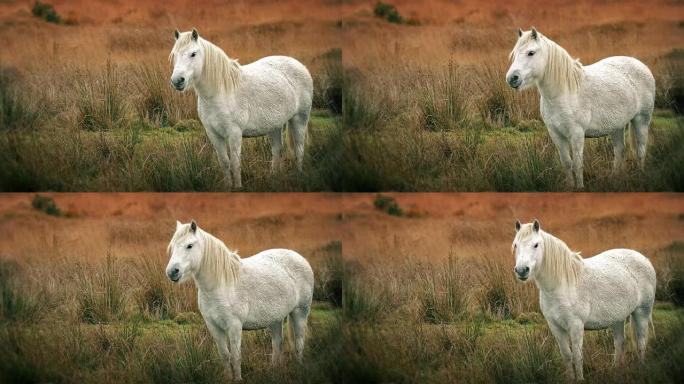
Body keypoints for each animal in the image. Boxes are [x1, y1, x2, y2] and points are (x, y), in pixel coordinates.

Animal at [166, 220, 316, 380]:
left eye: (189, 245)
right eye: (172, 246)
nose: (172, 272)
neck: (220, 285)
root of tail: (301, 258)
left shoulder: (234, 326)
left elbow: (236, 357)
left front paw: (237, 379)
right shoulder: (214, 326)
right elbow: (225, 355)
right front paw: (227, 378)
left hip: (300, 312)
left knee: (299, 343)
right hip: (275, 319)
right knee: (277, 344)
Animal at [170, 28, 314, 189]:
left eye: (193, 54)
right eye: (174, 54)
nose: (177, 81)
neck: (220, 92)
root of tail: (301, 66)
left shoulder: (234, 133)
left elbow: (235, 164)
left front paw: (238, 187)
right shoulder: (213, 134)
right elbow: (224, 163)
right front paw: (228, 187)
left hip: (300, 119)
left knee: (299, 149)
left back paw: (299, 177)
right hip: (275, 126)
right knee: (277, 150)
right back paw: (273, 179)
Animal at [504, 27, 656, 189]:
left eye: (531, 52)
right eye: (515, 53)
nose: (512, 78)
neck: (563, 93)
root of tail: (642, 66)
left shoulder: (576, 134)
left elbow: (577, 164)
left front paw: (580, 188)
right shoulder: (556, 134)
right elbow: (566, 163)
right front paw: (570, 187)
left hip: (641, 120)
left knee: (640, 150)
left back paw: (641, 177)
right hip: (617, 126)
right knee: (620, 151)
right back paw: (615, 179)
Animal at [512, 220, 656, 380]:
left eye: (536, 244)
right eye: (516, 245)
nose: (521, 270)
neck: (561, 285)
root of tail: (644, 259)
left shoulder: (576, 326)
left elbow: (577, 356)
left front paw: (580, 379)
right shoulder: (555, 327)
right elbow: (566, 355)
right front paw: (570, 379)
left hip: (642, 312)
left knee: (641, 343)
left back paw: (641, 369)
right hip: (618, 318)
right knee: (620, 343)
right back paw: (616, 371)